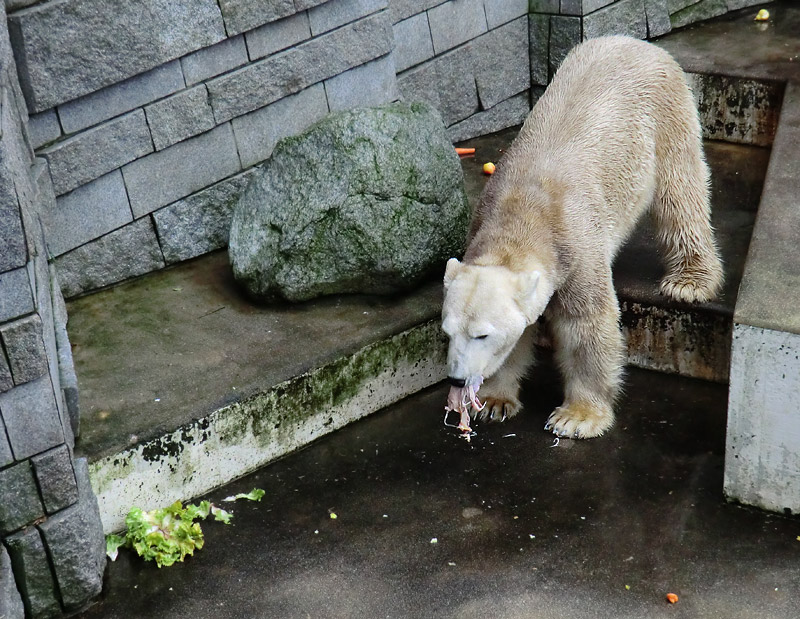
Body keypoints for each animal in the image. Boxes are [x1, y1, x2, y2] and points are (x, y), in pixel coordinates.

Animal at [440, 35, 720, 440]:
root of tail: (636, 42)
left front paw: (577, 417)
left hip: (665, 115)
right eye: (447, 332)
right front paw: (494, 401)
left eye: (482, 335)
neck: (521, 211)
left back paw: (689, 280)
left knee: (680, 194)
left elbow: (586, 324)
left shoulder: (575, 245)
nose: (458, 381)